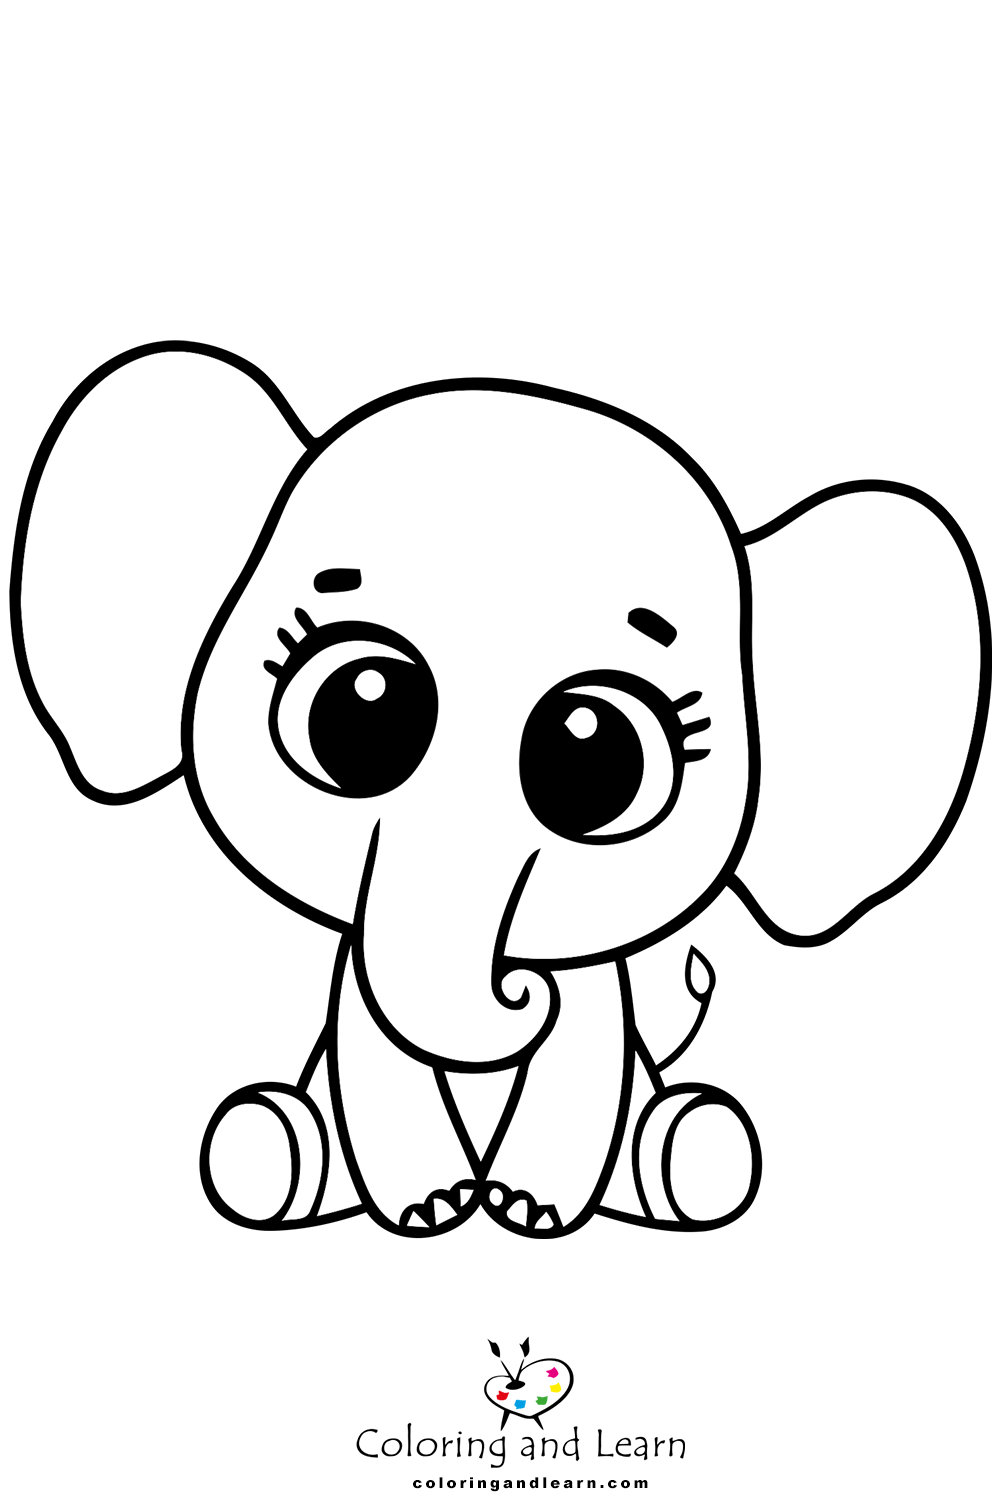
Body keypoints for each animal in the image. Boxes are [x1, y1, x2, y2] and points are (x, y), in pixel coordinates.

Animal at [11, 342, 990, 1239]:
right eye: (360, 708)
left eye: (594, 754)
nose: (520, 988)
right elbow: (378, 1056)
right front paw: (431, 1208)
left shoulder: (594, 998)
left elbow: (582, 1061)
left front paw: (529, 1209)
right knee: (260, 1139)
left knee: (697, 1140)